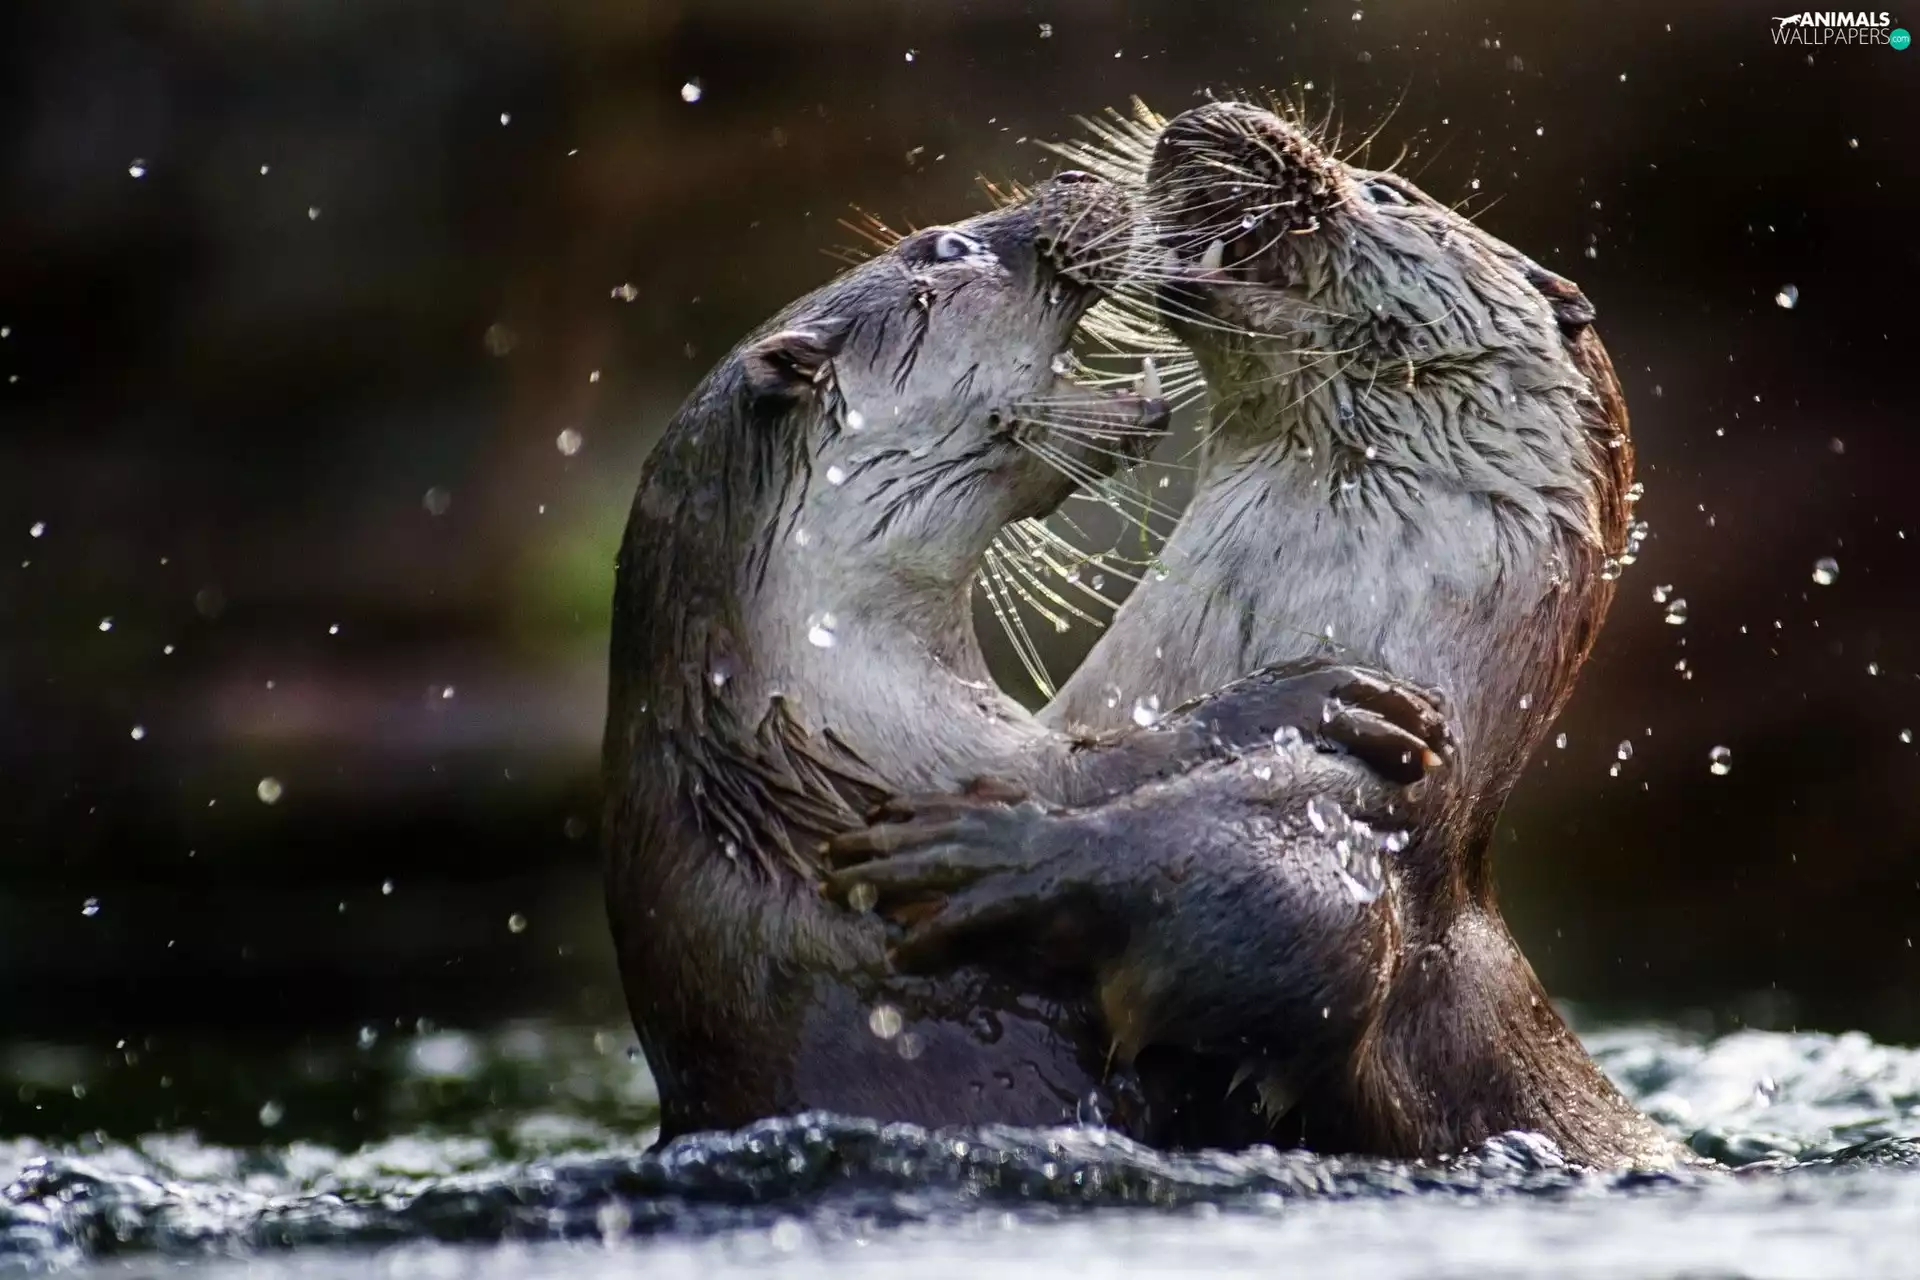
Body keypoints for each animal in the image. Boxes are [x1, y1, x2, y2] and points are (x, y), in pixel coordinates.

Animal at [601, 169, 1451, 1141]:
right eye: (943, 248)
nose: (1072, 181)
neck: (793, 738)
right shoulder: (913, 765)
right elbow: (1106, 770)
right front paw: (1314, 698)